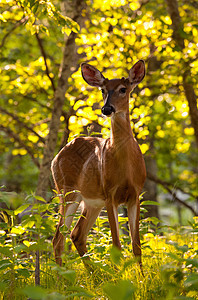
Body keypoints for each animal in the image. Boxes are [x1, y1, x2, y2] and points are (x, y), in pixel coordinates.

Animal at [51, 59, 146, 270]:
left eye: (123, 89)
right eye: (102, 89)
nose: (106, 109)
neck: (126, 167)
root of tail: (56, 156)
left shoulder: (135, 193)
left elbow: (136, 246)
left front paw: (141, 277)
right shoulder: (110, 193)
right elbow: (117, 244)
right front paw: (120, 276)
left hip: (91, 201)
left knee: (76, 234)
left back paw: (94, 273)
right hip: (67, 191)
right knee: (58, 237)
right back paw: (64, 275)